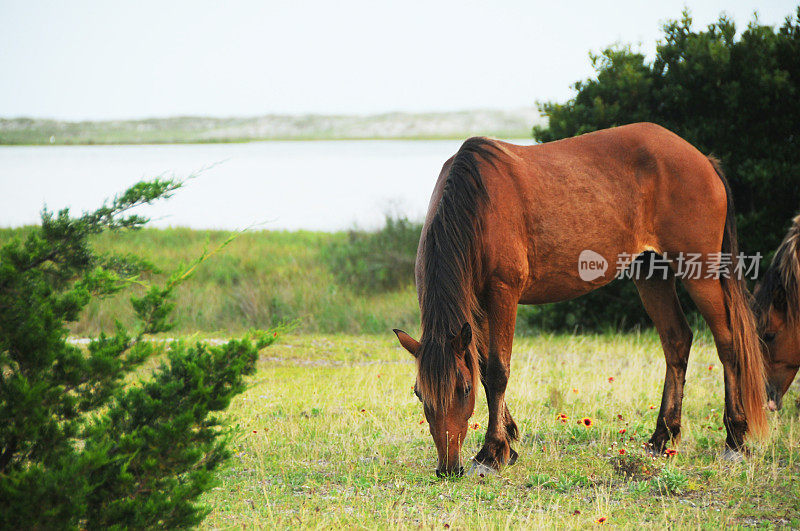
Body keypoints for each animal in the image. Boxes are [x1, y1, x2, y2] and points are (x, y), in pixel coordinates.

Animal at [394, 123, 768, 478]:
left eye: (462, 388)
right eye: (418, 392)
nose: (448, 468)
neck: (477, 203)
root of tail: (703, 160)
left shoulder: (502, 294)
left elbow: (498, 371)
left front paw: (491, 454)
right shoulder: (479, 308)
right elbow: (486, 370)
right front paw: (508, 443)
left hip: (700, 271)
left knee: (727, 343)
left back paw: (735, 440)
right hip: (651, 271)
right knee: (677, 340)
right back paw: (661, 438)